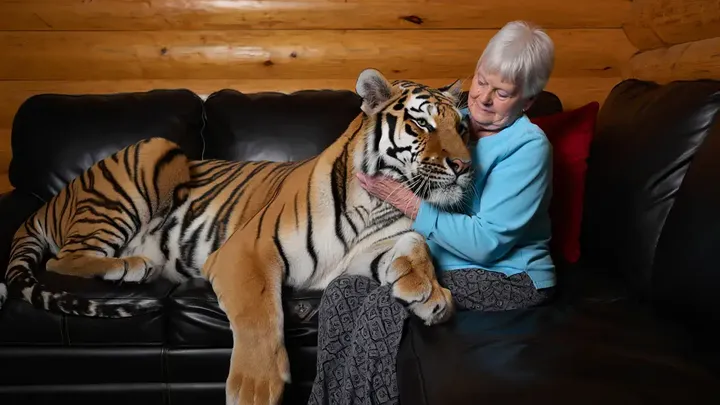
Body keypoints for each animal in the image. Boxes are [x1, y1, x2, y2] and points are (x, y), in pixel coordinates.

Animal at [0, 68, 473, 405]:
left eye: (462, 128)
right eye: (423, 125)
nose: (465, 167)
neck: (378, 201)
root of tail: (51, 199)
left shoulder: (359, 256)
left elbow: (416, 244)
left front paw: (430, 293)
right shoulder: (247, 252)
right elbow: (261, 313)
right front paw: (256, 389)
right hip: (148, 157)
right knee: (62, 258)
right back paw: (131, 267)